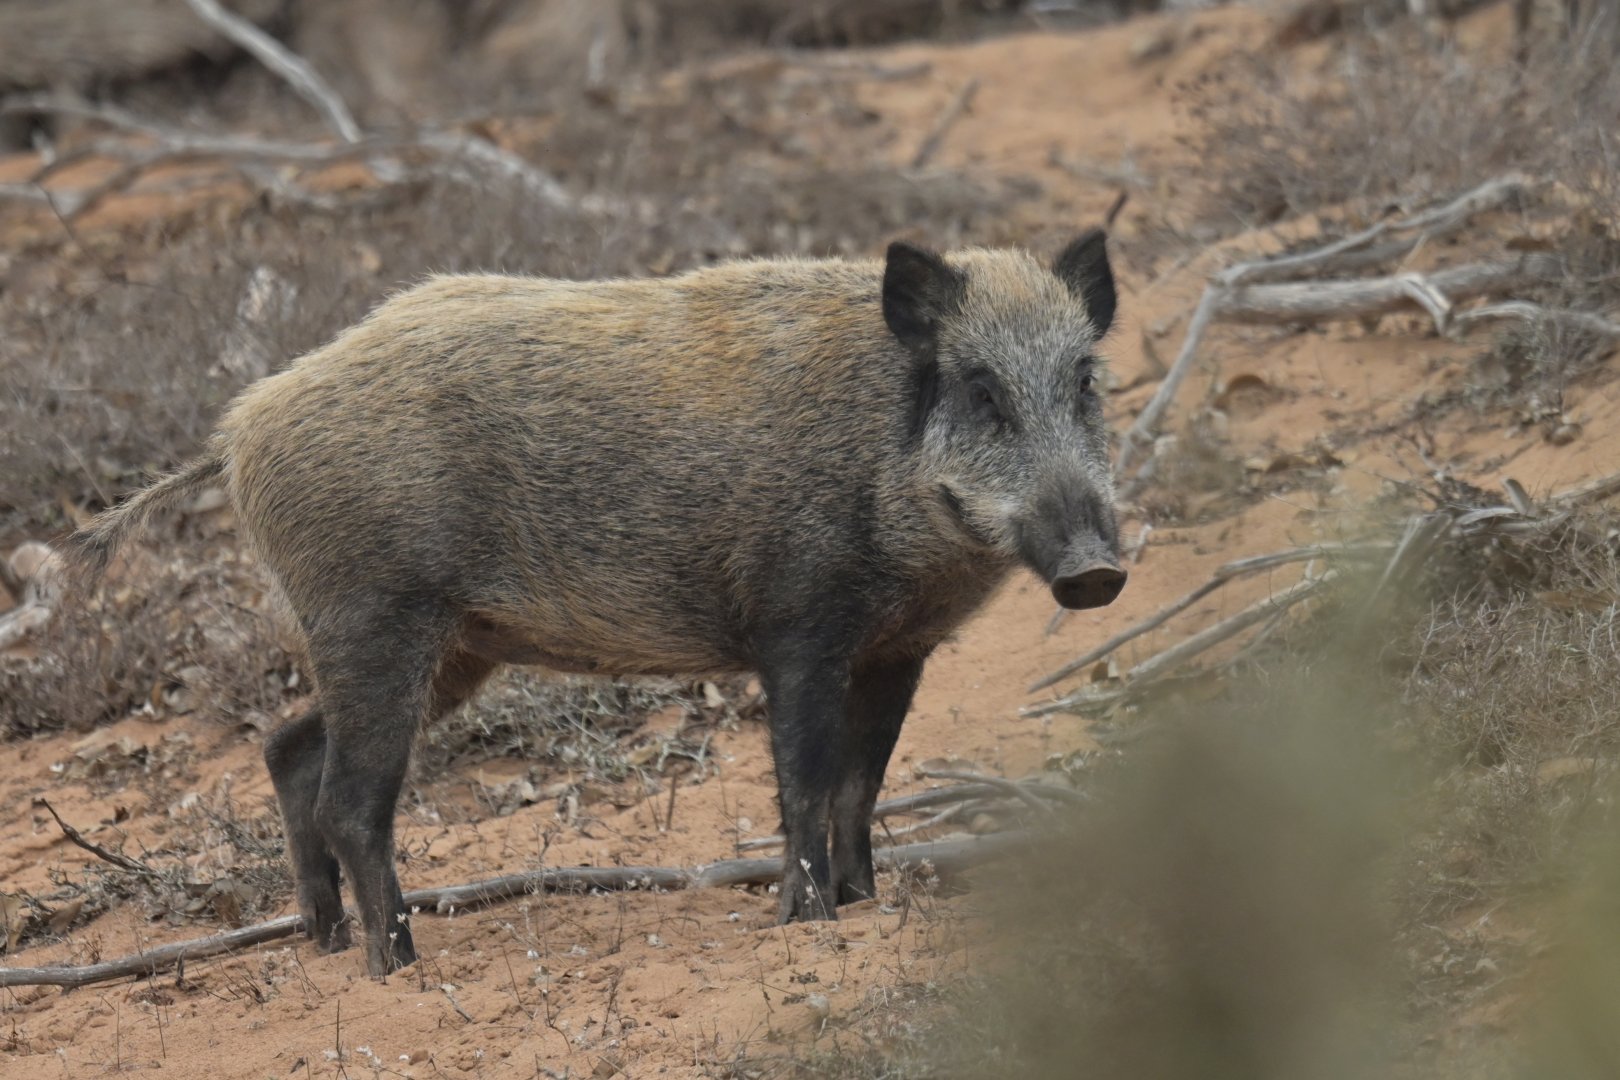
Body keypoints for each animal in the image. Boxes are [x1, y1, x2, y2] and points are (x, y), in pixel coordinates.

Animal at [64, 230, 1126, 975]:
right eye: (980, 389)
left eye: (1084, 381)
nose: (1096, 571)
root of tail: (238, 432)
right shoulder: (798, 629)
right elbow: (804, 785)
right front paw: (810, 922)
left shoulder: (899, 648)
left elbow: (862, 787)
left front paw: (864, 907)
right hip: (376, 620)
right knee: (349, 801)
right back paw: (397, 966)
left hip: (446, 650)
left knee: (287, 750)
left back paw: (324, 945)